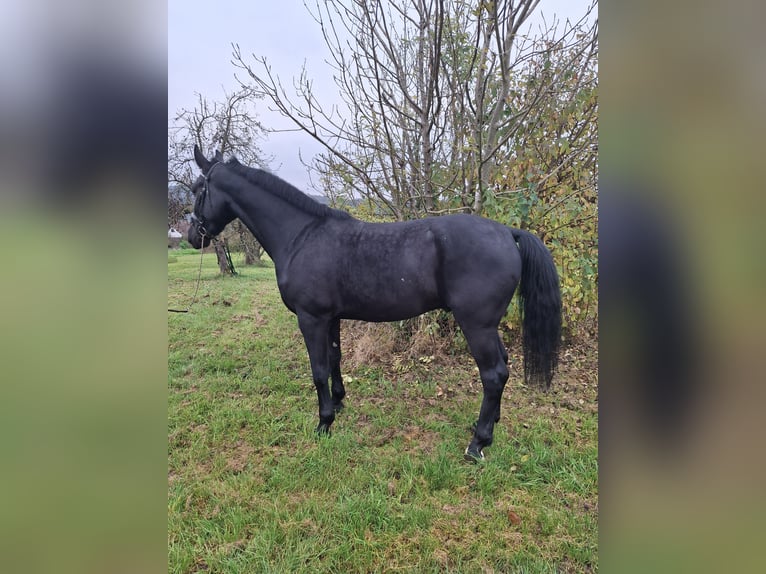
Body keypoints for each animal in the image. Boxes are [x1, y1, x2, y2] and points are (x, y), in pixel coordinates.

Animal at [188, 146, 560, 462]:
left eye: (196, 189)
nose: (193, 237)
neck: (302, 236)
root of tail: (507, 232)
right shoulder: (331, 318)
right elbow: (334, 360)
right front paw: (338, 405)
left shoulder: (311, 318)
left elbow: (318, 370)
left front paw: (323, 423)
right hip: (487, 325)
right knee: (504, 366)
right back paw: (489, 426)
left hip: (476, 325)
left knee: (494, 374)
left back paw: (477, 443)